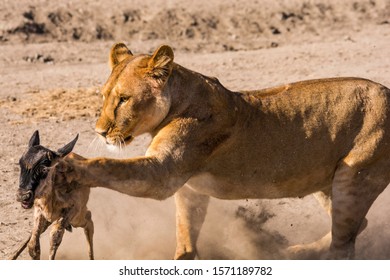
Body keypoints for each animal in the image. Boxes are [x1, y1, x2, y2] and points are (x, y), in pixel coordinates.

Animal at [13, 131, 93, 260]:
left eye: (44, 169)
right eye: (20, 163)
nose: (22, 196)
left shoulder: (71, 211)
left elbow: (55, 238)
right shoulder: (39, 210)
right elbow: (33, 246)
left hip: (77, 218)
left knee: (89, 221)